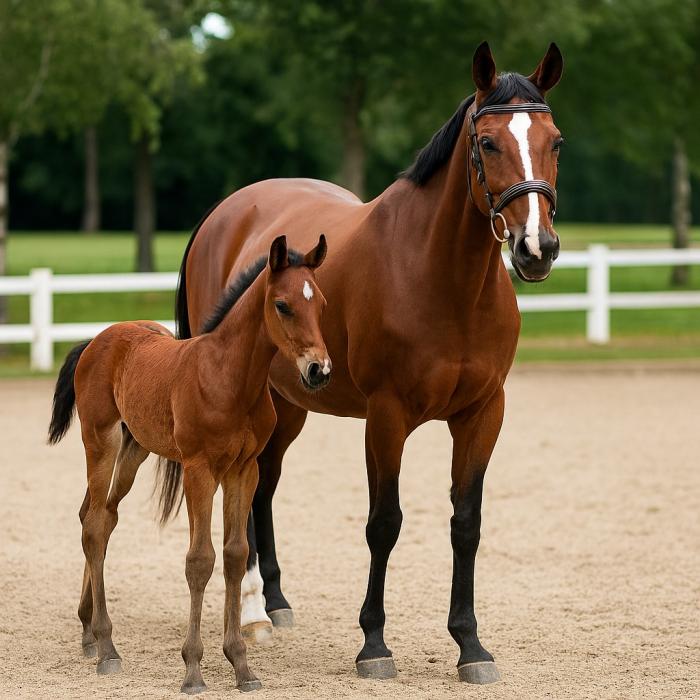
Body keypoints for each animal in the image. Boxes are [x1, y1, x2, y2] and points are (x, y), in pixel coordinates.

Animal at [48, 235, 330, 694]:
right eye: (283, 305)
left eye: (321, 303)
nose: (319, 370)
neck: (229, 377)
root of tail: (96, 339)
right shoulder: (200, 470)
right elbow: (200, 560)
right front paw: (193, 670)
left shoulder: (243, 470)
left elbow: (234, 555)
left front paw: (242, 666)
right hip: (101, 440)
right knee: (93, 525)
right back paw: (107, 648)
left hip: (136, 448)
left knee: (100, 517)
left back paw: (89, 632)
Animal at [166, 41, 564, 684]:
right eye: (487, 143)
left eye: (556, 141)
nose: (537, 248)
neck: (442, 278)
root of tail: (224, 212)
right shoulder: (386, 416)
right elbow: (385, 523)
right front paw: (374, 644)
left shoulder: (483, 413)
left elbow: (466, 524)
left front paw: (470, 645)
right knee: (242, 494)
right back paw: (249, 609)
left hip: (287, 404)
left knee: (263, 488)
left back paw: (273, 602)